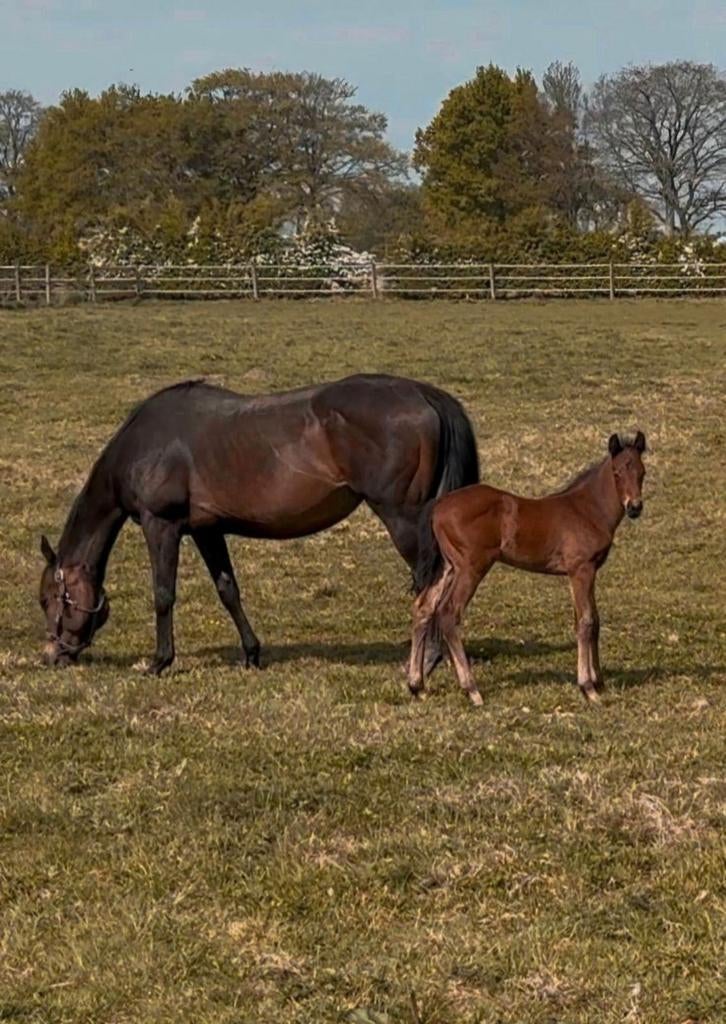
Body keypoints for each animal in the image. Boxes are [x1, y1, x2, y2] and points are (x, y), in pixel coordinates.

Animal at [39, 374, 479, 673]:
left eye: (48, 599)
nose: (53, 655)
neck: (146, 444)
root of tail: (423, 394)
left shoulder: (160, 525)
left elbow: (163, 594)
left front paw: (160, 661)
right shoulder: (207, 530)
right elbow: (228, 590)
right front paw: (251, 654)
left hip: (403, 518)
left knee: (431, 581)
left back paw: (428, 657)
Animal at [408, 432, 647, 706]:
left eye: (642, 472)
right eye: (617, 473)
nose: (634, 507)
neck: (588, 509)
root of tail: (438, 505)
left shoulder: (588, 571)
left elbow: (593, 620)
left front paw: (599, 681)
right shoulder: (581, 569)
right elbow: (586, 622)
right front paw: (588, 688)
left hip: (447, 567)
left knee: (423, 607)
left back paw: (417, 685)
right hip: (471, 567)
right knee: (448, 612)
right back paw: (472, 689)